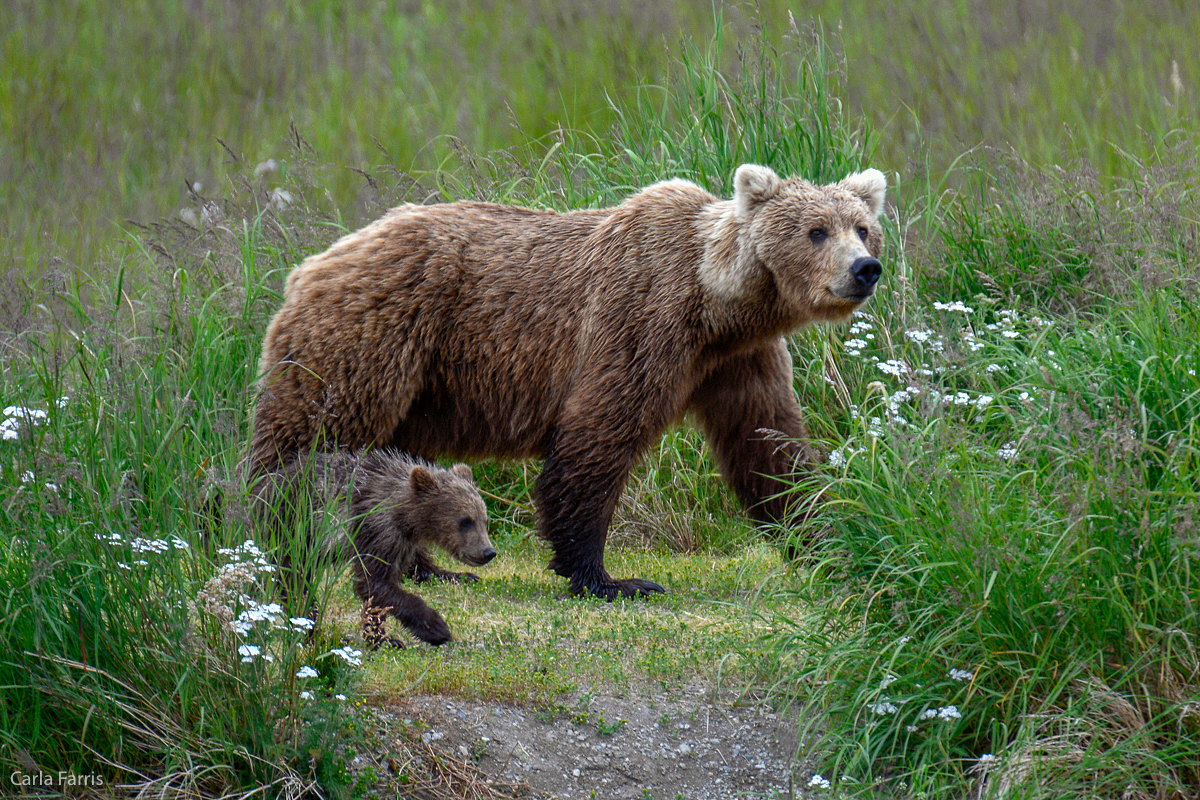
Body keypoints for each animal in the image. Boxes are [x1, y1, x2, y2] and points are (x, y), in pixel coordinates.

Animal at [248, 164, 888, 599]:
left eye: (861, 227)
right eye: (815, 231)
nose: (865, 268)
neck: (716, 304)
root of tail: (309, 264)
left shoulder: (739, 360)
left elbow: (769, 446)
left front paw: (826, 542)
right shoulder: (638, 320)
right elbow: (598, 436)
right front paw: (609, 577)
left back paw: (428, 565)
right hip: (371, 345)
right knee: (309, 442)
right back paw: (279, 533)